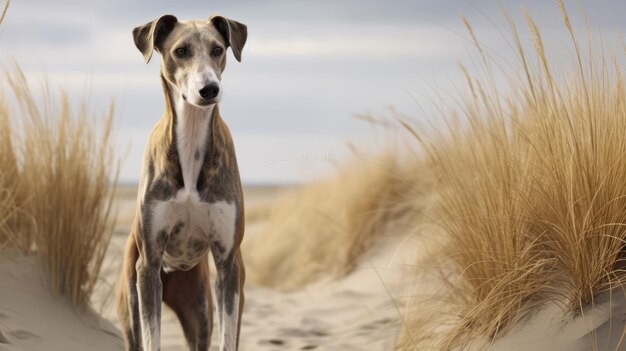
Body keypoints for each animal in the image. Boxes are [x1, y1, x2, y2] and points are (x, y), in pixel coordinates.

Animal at [117, 14, 246, 351]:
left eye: (218, 49)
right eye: (181, 51)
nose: (209, 89)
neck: (190, 137)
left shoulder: (228, 264)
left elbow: (228, 339)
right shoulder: (148, 267)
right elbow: (152, 339)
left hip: (200, 309)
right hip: (131, 300)